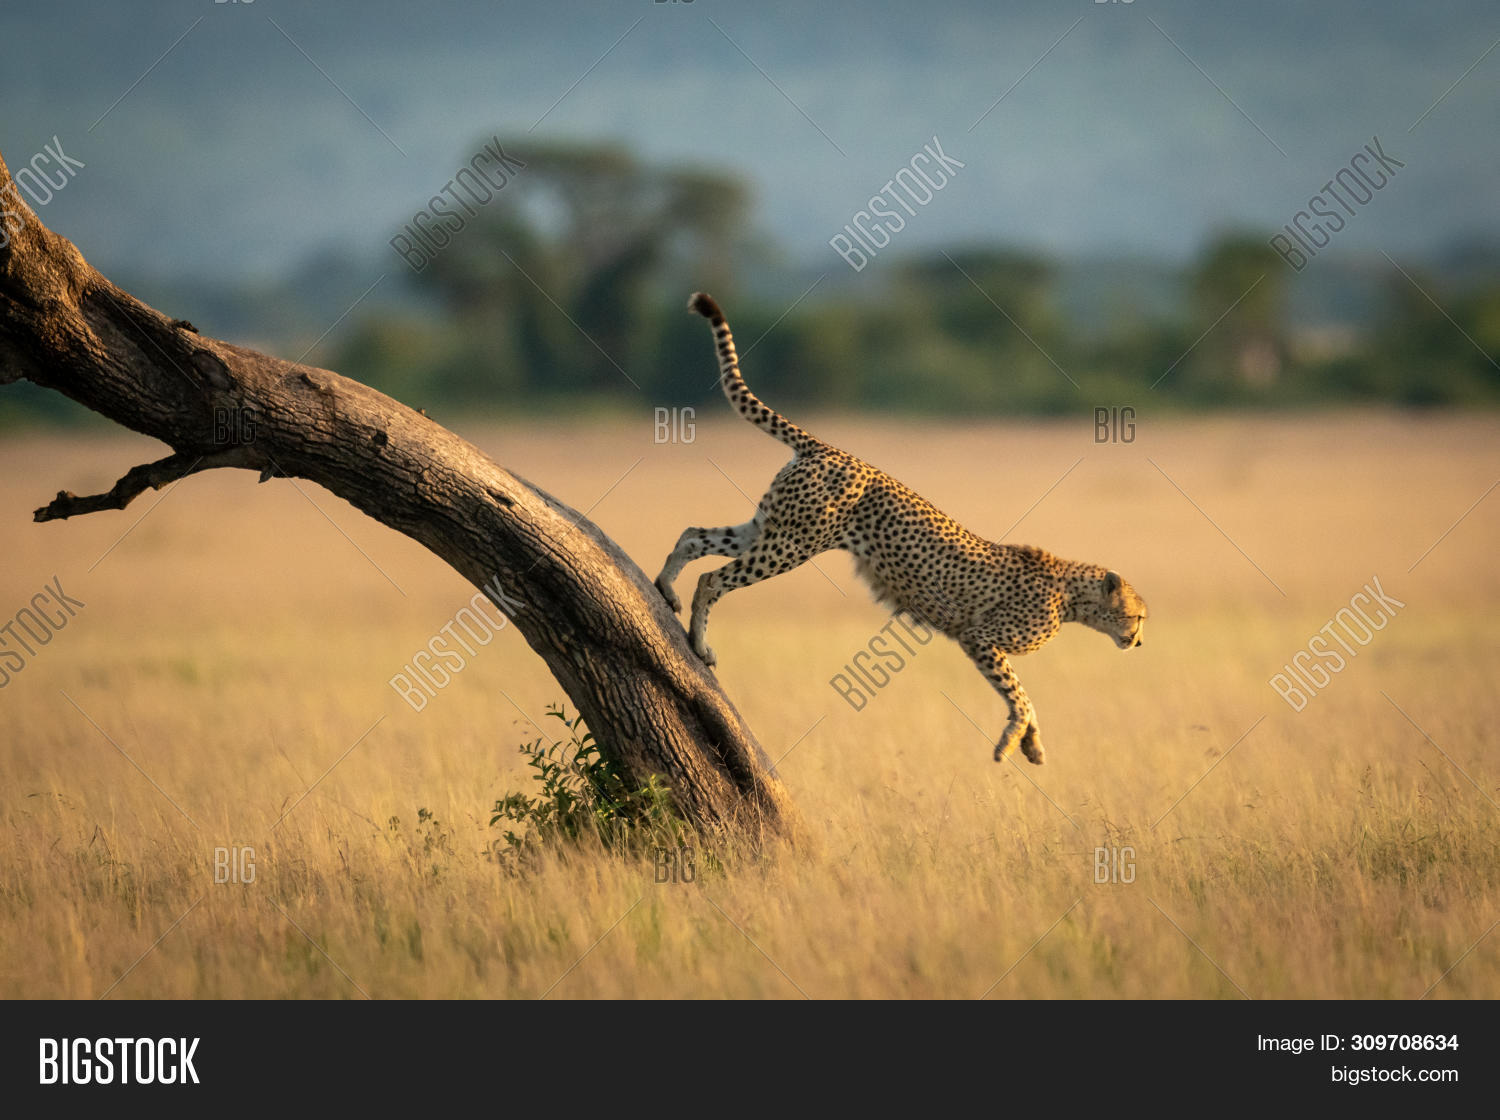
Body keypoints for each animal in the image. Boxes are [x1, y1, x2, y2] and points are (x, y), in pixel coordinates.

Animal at [654, 292, 1148, 765]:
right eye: (1138, 615)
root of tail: (832, 449)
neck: (1072, 596)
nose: (1140, 642)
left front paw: (1032, 745)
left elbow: (1024, 697)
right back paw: (699, 644)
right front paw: (1015, 741)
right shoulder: (980, 638)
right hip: (792, 544)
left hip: (772, 527)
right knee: (712, 577)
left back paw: (666, 588)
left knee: (693, 535)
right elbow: (1020, 694)